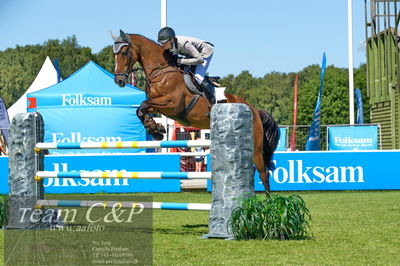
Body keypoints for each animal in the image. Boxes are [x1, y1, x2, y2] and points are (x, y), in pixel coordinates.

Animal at [109, 30, 278, 193]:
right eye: (114, 53)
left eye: (124, 52)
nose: (119, 81)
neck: (162, 71)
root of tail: (254, 110)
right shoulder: (159, 105)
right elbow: (141, 109)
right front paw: (155, 129)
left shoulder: (172, 104)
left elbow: (144, 104)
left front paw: (156, 129)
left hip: (255, 148)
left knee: (263, 173)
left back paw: (267, 200)